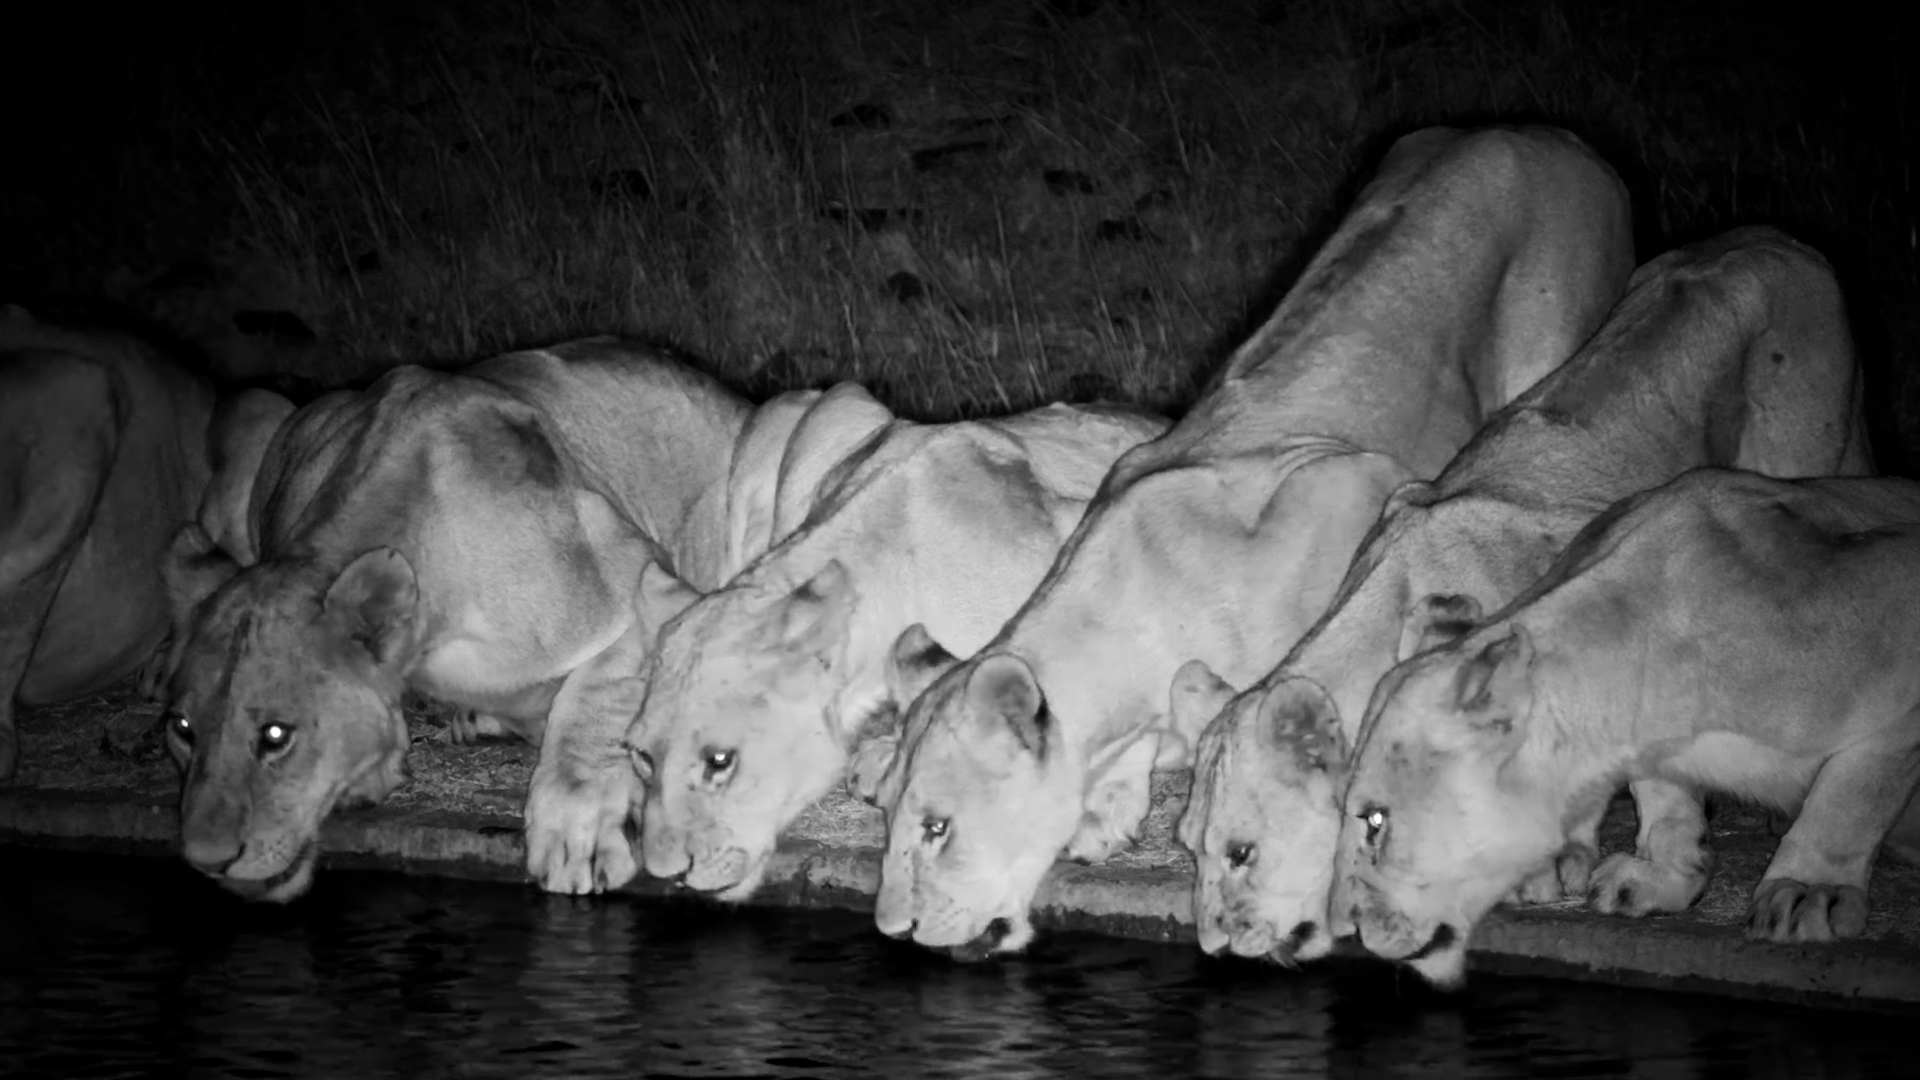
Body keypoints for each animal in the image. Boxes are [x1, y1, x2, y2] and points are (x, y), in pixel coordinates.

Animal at [160, 338, 752, 900]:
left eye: (276, 736)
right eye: (182, 729)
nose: (206, 859)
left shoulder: (640, 576)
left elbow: (593, 708)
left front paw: (576, 839)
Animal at [871, 124, 1635, 959]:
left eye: (937, 826)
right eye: (886, 814)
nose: (894, 927)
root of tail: (1541, 131)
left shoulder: (1365, 488)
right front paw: (1109, 809)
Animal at [1335, 467, 1920, 988]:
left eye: (1375, 820)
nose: (1351, 929)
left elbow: (1850, 798)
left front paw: (1805, 894)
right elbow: (1665, 802)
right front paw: (1658, 877)